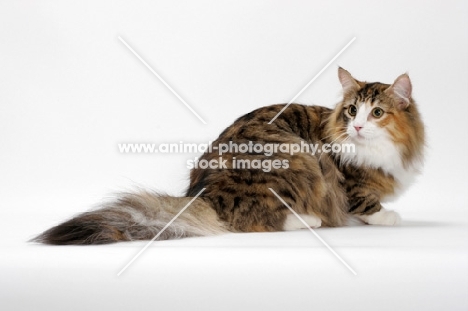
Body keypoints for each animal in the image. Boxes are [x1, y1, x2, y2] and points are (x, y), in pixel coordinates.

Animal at [33, 69, 426, 246]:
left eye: (377, 113)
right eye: (351, 111)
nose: (356, 126)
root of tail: (205, 194)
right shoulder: (349, 181)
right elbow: (367, 204)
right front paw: (389, 217)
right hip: (296, 157)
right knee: (258, 220)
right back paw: (309, 220)